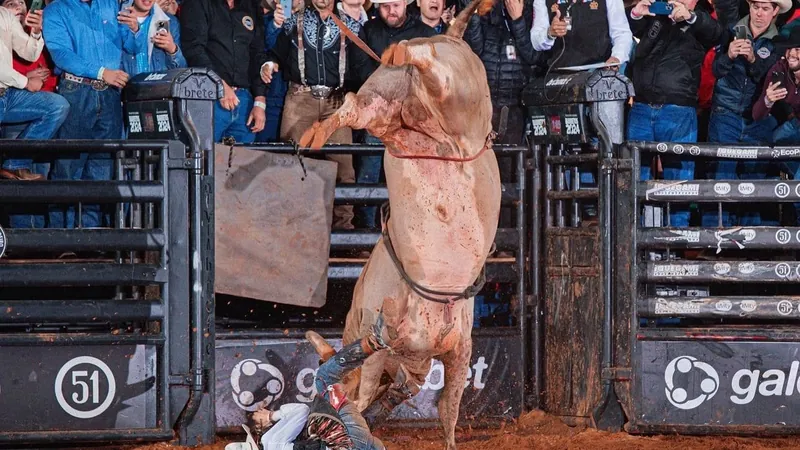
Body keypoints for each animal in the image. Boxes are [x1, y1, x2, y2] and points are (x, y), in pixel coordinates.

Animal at [300, 1, 500, 448]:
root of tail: (453, 37)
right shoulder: (425, 352)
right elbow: (429, 401)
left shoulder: (456, 349)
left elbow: (445, 408)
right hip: (421, 97)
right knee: (390, 88)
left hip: (425, 92)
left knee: (386, 87)